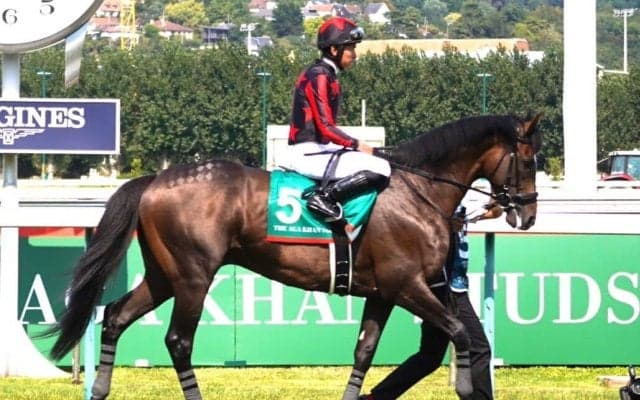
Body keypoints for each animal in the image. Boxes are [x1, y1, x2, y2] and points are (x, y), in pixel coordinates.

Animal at [47, 113, 542, 400]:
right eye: (530, 159)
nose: (528, 214)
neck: (416, 188)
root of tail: (154, 179)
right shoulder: (406, 284)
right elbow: (458, 330)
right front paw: (467, 387)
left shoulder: (383, 291)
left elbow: (364, 352)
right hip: (193, 277)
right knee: (178, 341)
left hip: (164, 275)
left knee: (114, 315)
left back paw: (99, 389)